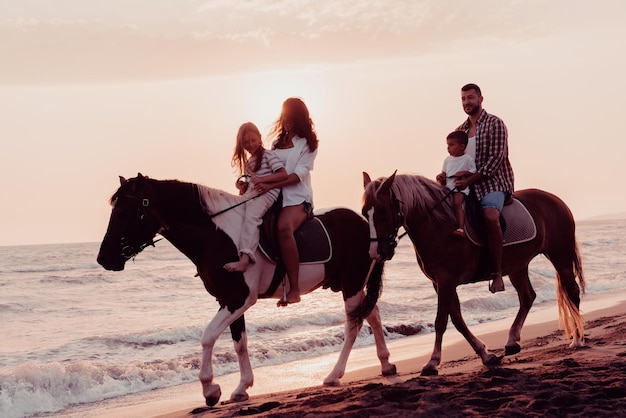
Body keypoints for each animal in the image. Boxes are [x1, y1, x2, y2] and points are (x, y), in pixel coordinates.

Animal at [95, 173, 392, 408]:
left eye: (124, 212)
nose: (103, 258)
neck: (215, 236)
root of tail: (367, 226)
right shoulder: (227, 300)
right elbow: (240, 342)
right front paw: (241, 387)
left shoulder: (239, 299)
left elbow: (208, 337)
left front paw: (210, 389)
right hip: (351, 285)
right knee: (373, 315)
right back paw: (386, 364)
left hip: (351, 284)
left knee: (353, 325)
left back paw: (334, 374)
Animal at [358, 171, 584, 376]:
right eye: (364, 212)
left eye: (382, 211)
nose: (375, 252)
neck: (439, 225)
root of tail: (556, 201)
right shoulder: (440, 283)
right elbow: (457, 320)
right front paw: (486, 355)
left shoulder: (446, 281)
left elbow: (441, 321)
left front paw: (432, 363)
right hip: (518, 266)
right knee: (528, 297)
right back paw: (512, 341)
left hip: (560, 257)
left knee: (572, 291)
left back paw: (577, 340)